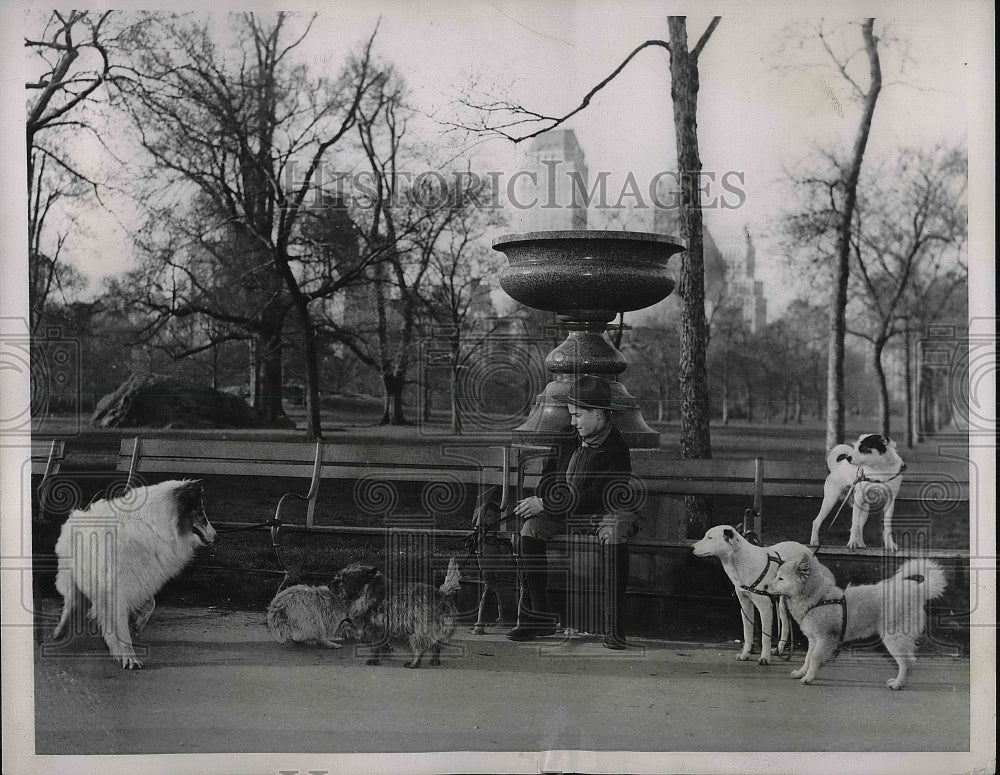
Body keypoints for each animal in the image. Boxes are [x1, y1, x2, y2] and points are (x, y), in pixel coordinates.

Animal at [52, 476, 215, 668]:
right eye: (200, 512)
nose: (216, 536)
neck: (154, 526)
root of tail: (79, 514)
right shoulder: (116, 591)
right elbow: (122, 628)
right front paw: (129, 657)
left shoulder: (140, 583)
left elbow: (151, 603)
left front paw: (138, 626)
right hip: (70, 579)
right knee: (70, 603)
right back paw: (60, 630)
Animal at [334, 556, 462, 668]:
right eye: (339, 575)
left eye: (344, 579)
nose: (332, 582)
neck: (370, 589)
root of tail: (441, 594)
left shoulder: (374, 628)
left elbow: (374, 647)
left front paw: (374, 660)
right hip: (441, 631)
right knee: (437, 646)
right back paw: (434, 661)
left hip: (418, 632)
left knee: (419, 648)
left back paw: (414, 663)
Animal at [764, 552, 944, 692]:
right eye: (777, 576)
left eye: (781, 578)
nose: (765, 586)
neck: (818, 598)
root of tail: (917, 591)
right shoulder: (813, 640)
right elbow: (808, 658)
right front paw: (802, 672)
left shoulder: (825, 639)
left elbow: (814, 658)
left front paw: (808, 678)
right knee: (910, 661)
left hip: (894, 638)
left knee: (907, 662)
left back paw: (898, 684)